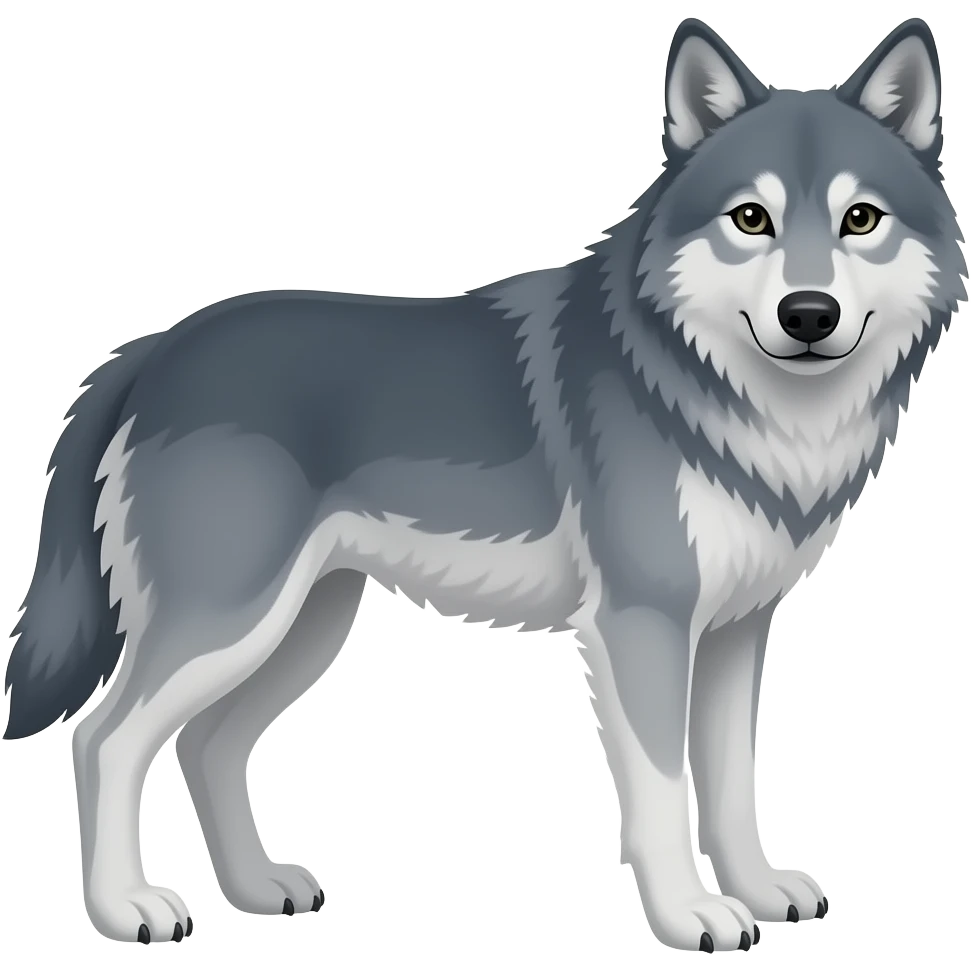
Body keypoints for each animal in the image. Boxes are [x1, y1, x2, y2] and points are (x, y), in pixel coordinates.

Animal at [2, 16, 965, 953]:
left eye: (861, 219)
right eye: (752, 218)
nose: (809, 315)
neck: (726, 396)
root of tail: (152, 349)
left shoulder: (736, 631)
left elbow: (732, 784)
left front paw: (759, 891)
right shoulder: (641, 625)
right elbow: (664, 791)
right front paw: (691, 915)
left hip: (302, 627)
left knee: (205, 745)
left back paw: (257, 890)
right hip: (230, 623)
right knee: (105, 738)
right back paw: (127, 908)